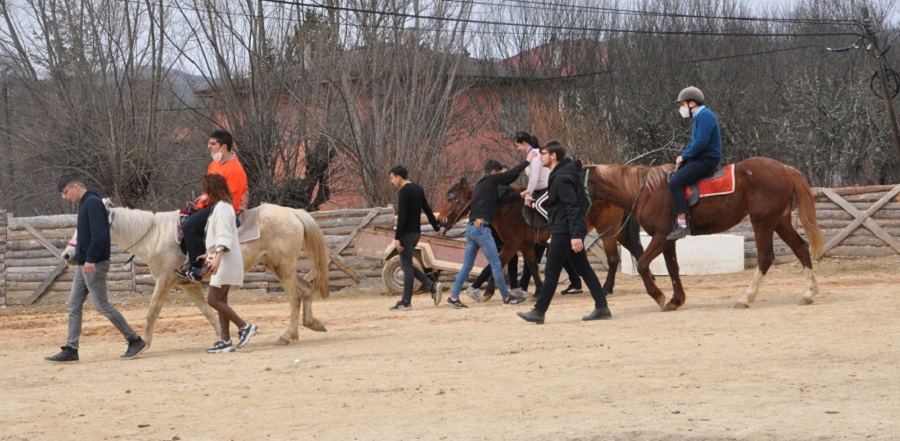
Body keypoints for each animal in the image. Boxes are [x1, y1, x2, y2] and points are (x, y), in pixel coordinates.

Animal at [63, 201, 330, 348]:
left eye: (86, 227)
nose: (67, 255)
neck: (156, 236)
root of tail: (293, 213)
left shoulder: (165, 281)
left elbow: (152, 312)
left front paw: (143, 343)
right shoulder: (187, 284)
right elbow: (208, 312)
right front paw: (223, 337)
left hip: (283, 267)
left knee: (295, 297)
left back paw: (287, 335)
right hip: (280, 267)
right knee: (306, 290)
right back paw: (312, 324)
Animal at [434, 176, 640, 296]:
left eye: (451, 199)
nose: (441, 220)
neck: (506, 206)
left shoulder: (512, 244)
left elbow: (497, 263)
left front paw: (488, 291)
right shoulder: (525, 245)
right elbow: (532, 266)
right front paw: (539, 291)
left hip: (609, 232)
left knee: (613, 259)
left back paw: (606, 288)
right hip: (618, 232)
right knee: (637, 251)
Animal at [584, 156, 824, 312]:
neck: (646, 191)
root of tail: (784, 168)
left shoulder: (660, 236)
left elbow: (643, 264)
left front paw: (659, 296)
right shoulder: (668, 240)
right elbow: (673, 268)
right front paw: (676, 300)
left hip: (763, 223)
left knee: (766, 258)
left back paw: (746, 298)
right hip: (779, 222)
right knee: (801, 248)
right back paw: (809, 293)